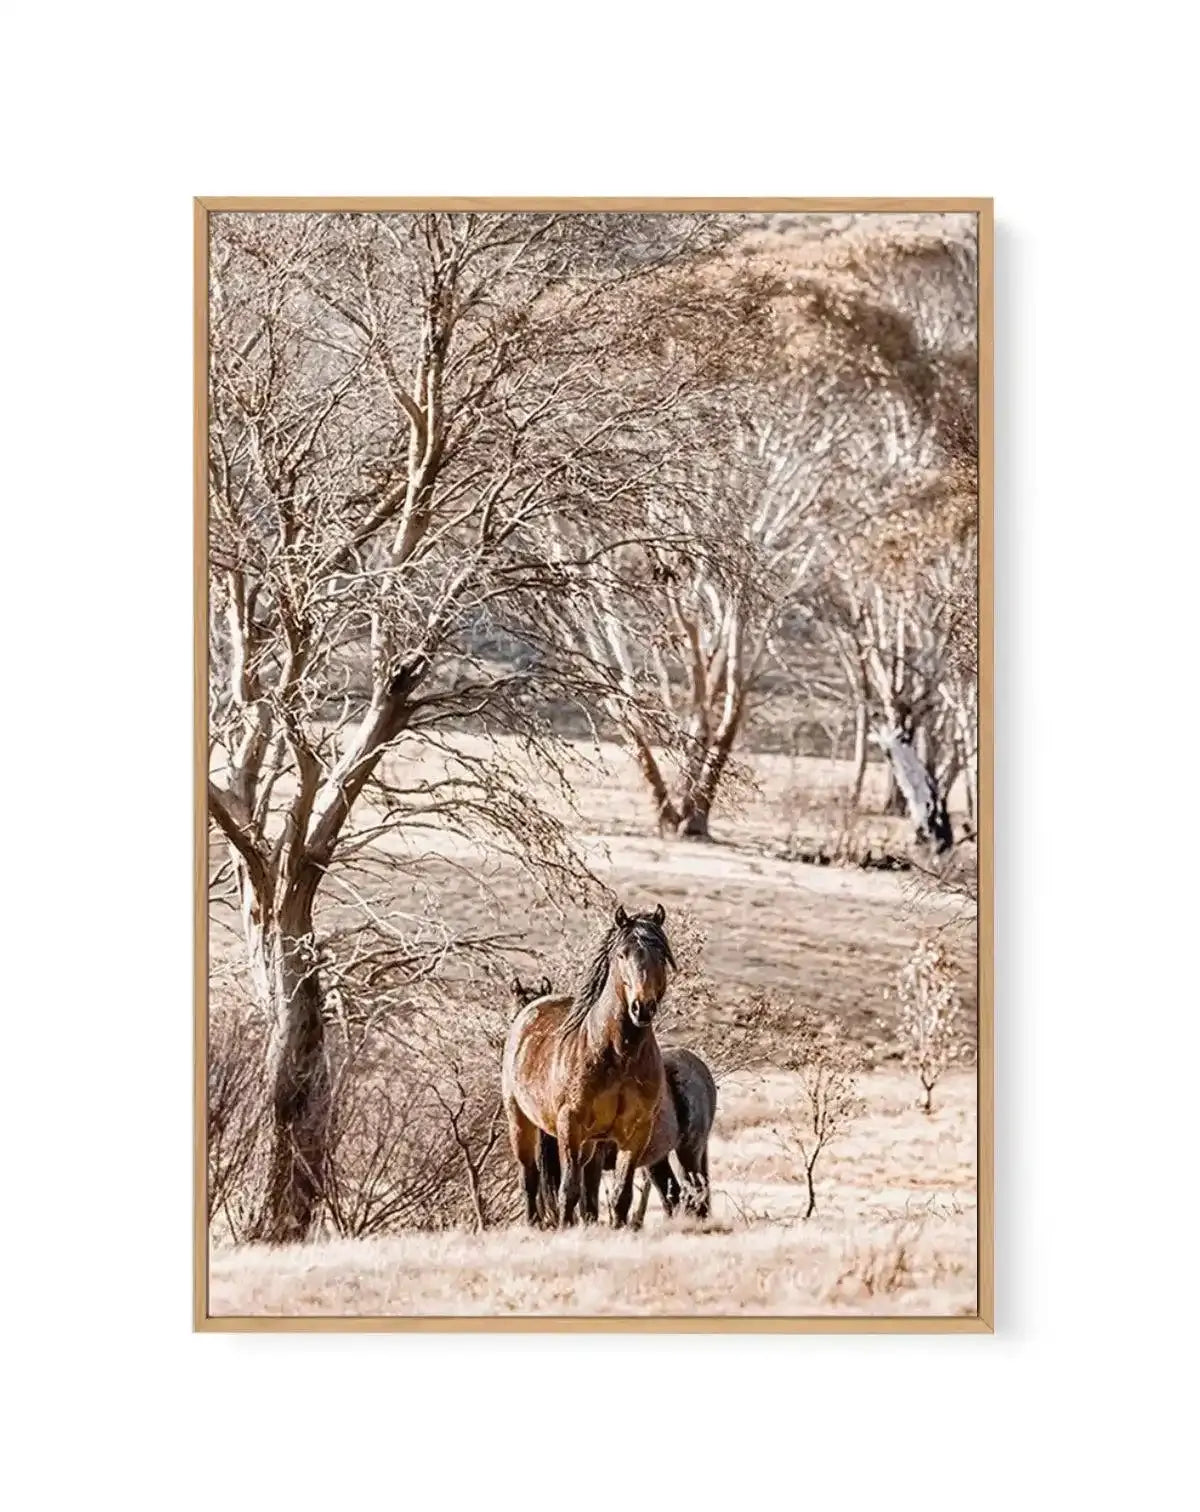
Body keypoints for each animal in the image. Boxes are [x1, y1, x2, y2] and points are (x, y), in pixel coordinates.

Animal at [501, 904, 676, 1228]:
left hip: (592, 1143)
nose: (642, 1008)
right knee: (530, 1178)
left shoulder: (636, 1131)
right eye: (622, 954)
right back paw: (534, 1223)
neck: (618, 1053)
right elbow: (568, 1189)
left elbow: (620, 1195)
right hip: (521, 1122)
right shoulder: (570, 1125)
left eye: (661, 954)